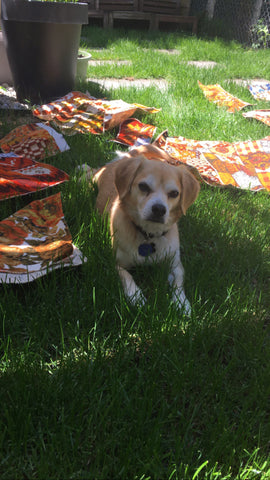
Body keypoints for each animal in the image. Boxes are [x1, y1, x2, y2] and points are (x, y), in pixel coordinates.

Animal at [81, 143, 199, 316]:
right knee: (91, 172)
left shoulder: (175, 263)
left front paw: (182, 303)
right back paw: (81, 169)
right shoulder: (115, 263)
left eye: (174, 193)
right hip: (95, 179)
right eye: (143, 186)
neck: (149, 234)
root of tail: (130, 157)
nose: (159, 209)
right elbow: (127, 276)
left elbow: (178, 281)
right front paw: (136, 296)